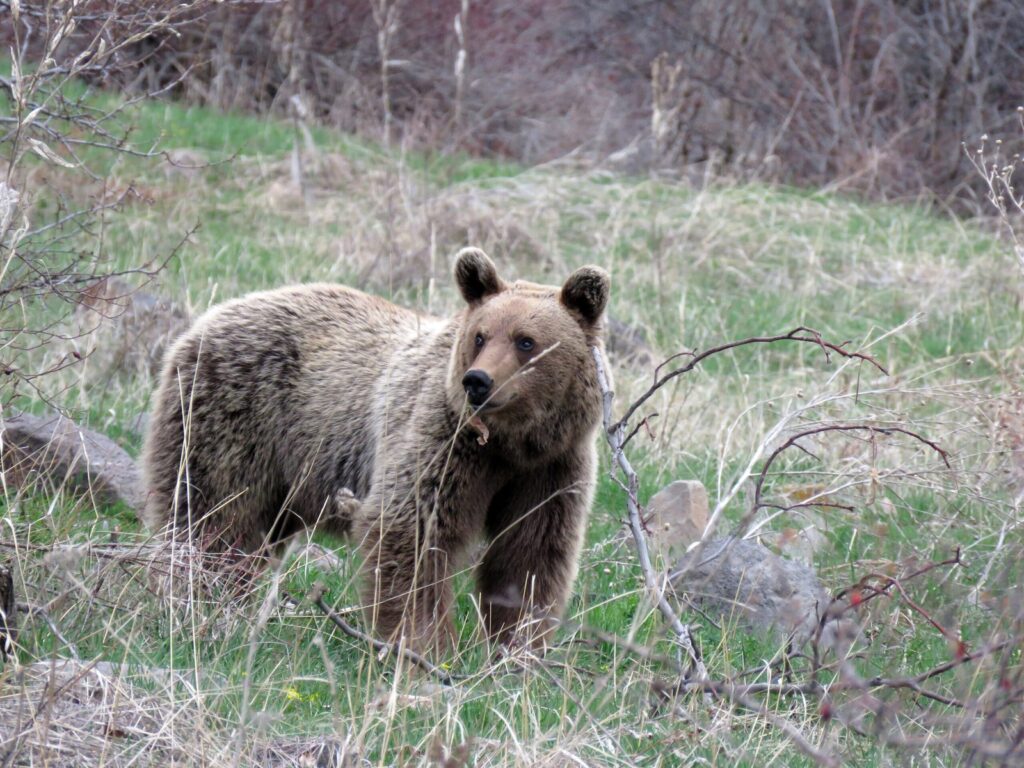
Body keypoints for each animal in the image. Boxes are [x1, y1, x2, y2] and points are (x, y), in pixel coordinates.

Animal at [141, 248, 610, 650]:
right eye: (480, 336)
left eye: (525, 340)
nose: (478, 381)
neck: (511, 443)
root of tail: (207, 318)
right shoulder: (443, 442)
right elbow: (410, 532)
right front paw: (423, 646)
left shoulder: (552, 467)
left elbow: (528, 554)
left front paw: (516, 648)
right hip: (231, 418)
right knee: (213, 519)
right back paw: (201, 601)